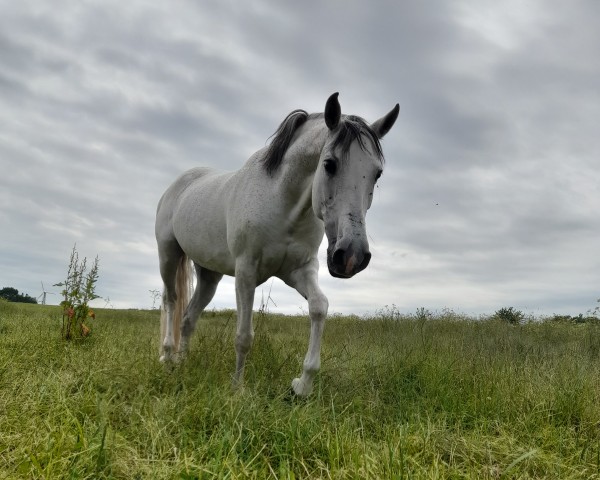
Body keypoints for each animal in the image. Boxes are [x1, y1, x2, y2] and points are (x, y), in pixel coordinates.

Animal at [156, 92, 398, 396]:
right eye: (329, 164)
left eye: (377, 174)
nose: (351, 256)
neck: (283, 204)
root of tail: (179, 184)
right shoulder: (246, 272)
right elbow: (244, 336)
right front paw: (237, 389)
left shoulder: (299, 271)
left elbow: (319, 306)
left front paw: (302, 385)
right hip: (168, 255)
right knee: (171, 301)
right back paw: (167, 357)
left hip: (209, 274)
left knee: (188, 318)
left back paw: (182, 362)